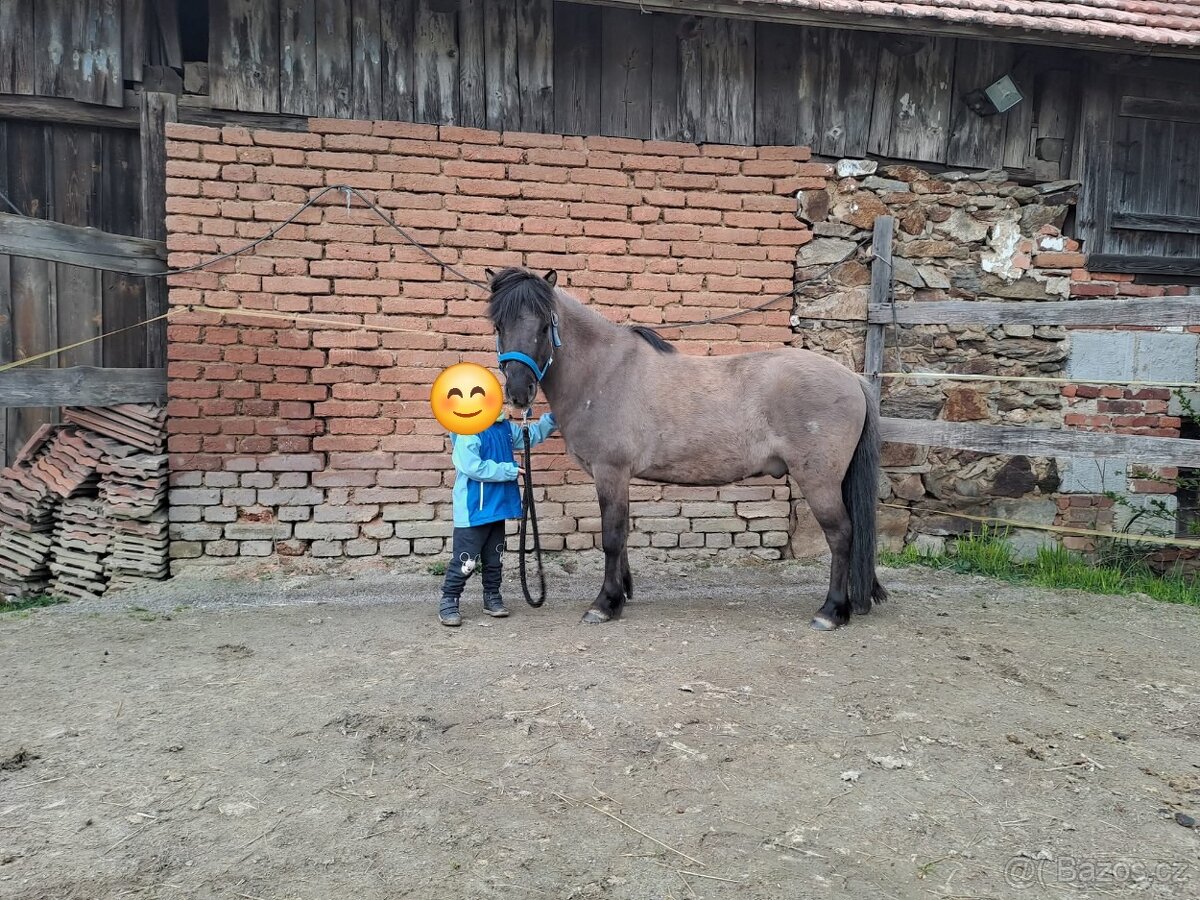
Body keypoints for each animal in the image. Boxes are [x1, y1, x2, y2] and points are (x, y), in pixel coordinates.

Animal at [485, 266, 887, 631]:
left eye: (544, 325)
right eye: (499, 326)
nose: (518, 393)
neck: (604, 372)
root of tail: (852, 378)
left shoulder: (610, 472)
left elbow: (612, 537)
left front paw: (604, 604)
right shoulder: (619, 477)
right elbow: (622, 534)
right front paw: (622, 593)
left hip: (819, 480)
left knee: (841, 534)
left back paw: (831, 611)